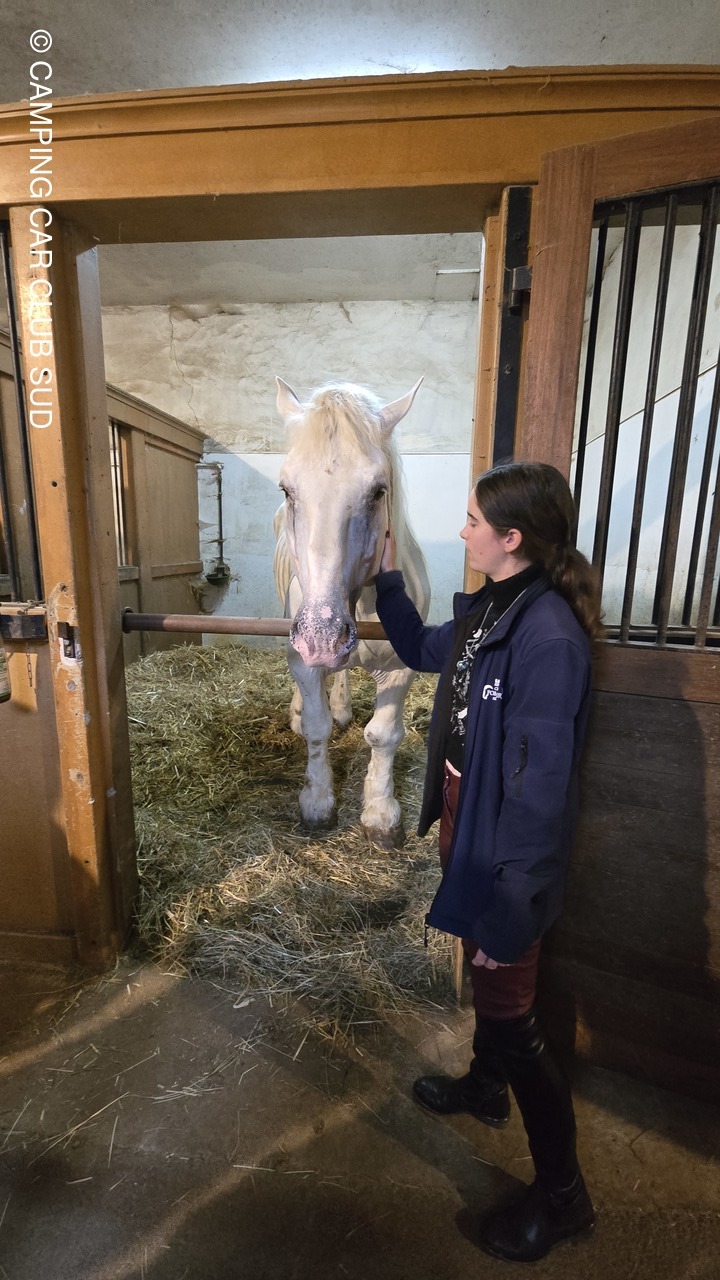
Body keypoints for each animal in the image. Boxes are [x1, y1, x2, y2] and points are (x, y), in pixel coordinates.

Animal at [273, 377, 431, 845]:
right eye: (287, 489)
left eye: (378, 490)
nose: (322, 636)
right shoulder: (303, 659)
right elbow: (317, 726)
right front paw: (318, 802)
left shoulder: (401, 668)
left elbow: (383, 734)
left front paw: (380, 812)